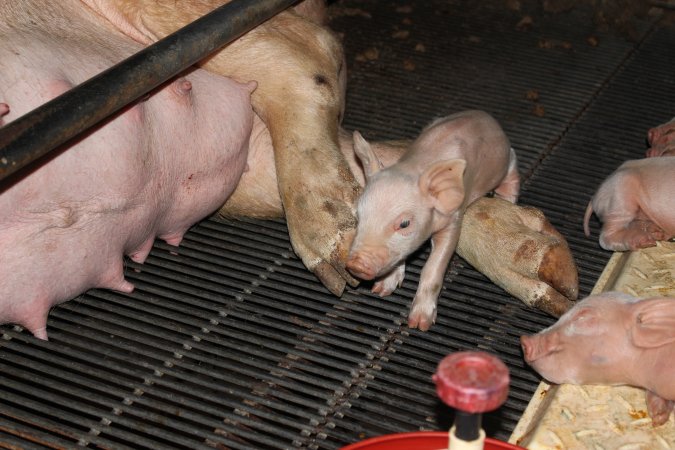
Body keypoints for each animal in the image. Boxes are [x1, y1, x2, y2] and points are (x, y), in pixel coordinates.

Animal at [346, 110, 520, 330]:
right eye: (358, 217)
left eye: (404, 224)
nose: (356, 265)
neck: (413, 169)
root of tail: (486, 116)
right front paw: (381, 290)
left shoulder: (453, 219)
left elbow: (433, 268)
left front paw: (420, 325)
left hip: (502, 161)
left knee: (513, 161)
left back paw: (506, 199)